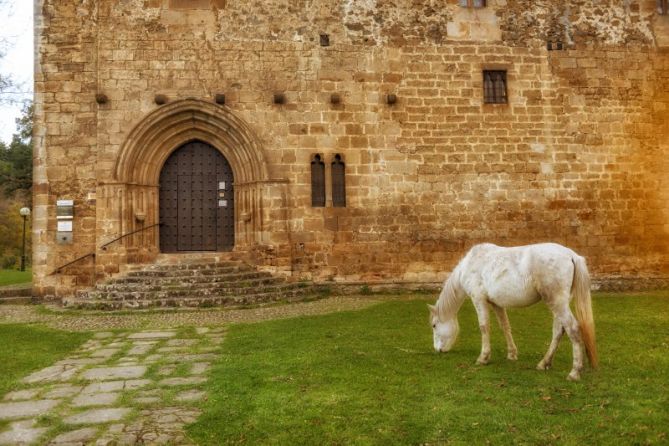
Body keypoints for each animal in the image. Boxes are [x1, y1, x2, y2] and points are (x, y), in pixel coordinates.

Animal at [430, 242, 596, 382]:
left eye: (434, 325)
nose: (437, 350)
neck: (471, 264)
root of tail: (571, 255)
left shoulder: (478, 299)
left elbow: (484, 327)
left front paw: (483, 358)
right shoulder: (496, 304)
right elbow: (505, 326)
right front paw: (512, 354)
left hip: (557, 302)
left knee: (572, 329)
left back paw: (574, 372)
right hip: (559, 304)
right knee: (558, 331)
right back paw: (544, 363)